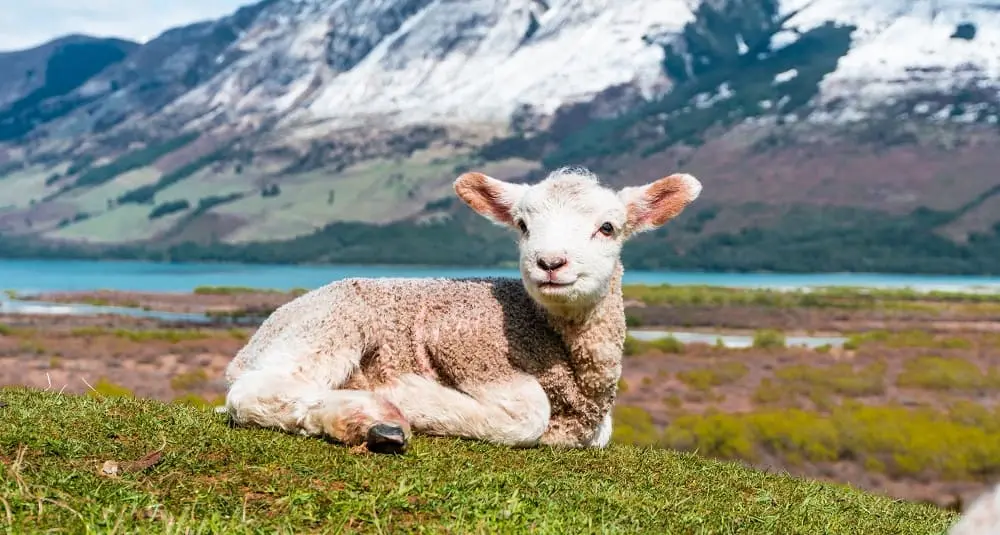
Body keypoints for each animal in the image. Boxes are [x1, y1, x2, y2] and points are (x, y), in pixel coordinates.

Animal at [222, 166, 700, 452]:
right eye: (522, 226)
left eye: (607, 228)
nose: (550, 263)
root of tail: (251, 344)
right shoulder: (460, 337)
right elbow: (528, 415)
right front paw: (409, 394)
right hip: (332, 323)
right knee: (254, 392)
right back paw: (367, 417)